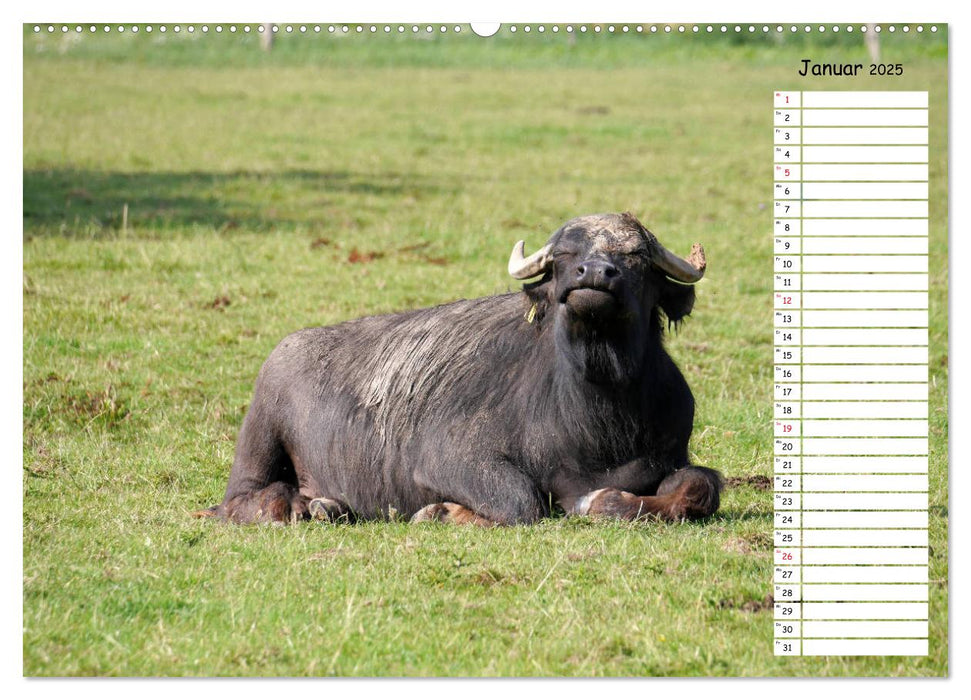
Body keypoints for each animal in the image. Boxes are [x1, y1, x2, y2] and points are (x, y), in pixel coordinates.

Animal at [197, 212, 716, 524]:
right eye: (564, 257)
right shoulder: (446, 458)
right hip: (260, 433)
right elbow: (522, 501)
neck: (597, 417)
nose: (593, 274)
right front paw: (442, 512)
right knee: (240, 499)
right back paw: (301, 507)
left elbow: (701, 485)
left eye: (635, 257)